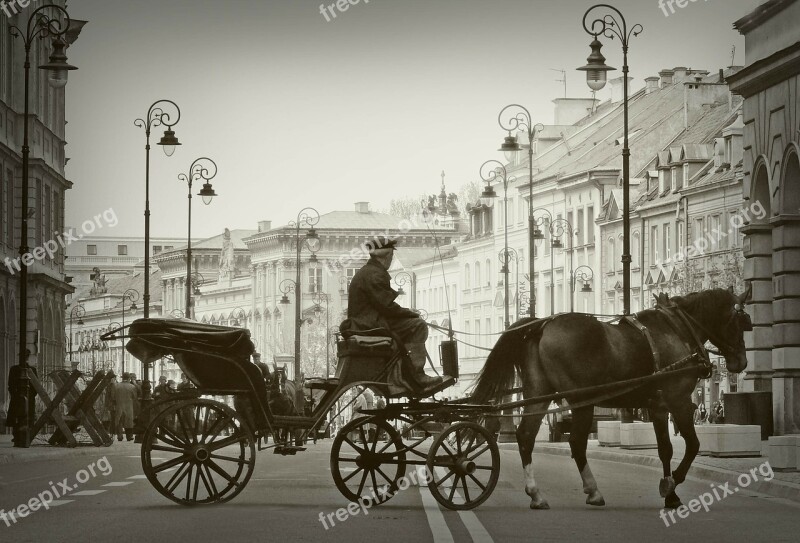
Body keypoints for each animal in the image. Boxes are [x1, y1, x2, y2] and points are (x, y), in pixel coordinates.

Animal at [468, 286, 752, 512]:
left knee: (527, 436)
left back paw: (537, 494)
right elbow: (690, 445)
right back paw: (592, 490)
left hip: (539, 395)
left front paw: (670, 492)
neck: (678, 330)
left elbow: (665, 449)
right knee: (576, 443)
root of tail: (542, 325)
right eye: (741, 322)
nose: (741, 362)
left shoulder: (658, 407)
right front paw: (671, 486)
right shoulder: (678, 402)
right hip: (580, 400)